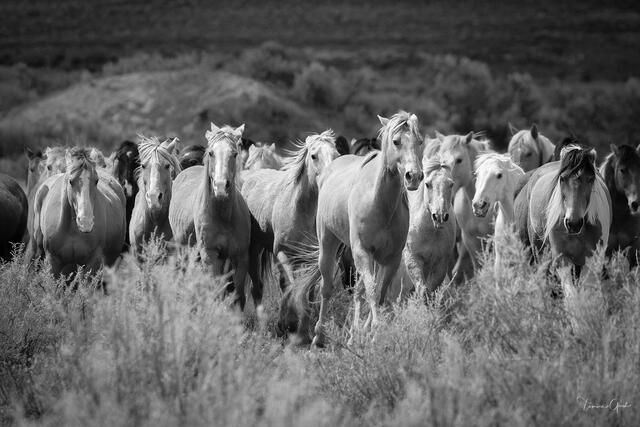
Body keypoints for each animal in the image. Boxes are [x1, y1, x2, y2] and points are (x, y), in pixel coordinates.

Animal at [29, 147, 126, 277]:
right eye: (70, 181)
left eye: (96, 181)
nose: (85, 222)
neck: (72, 230)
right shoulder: (52, 261)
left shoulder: (93, 263)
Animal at [169, 123, 259, 310]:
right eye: (211, 153)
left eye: (234, 153)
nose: (220, 187)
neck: (223, 215)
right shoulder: (209, 256)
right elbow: (216, 292)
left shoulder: (240, 257)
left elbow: (238, 295)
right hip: (184, 251)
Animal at [240, 130, 339, 294]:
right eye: (313, 156)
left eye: (336, 155)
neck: (299, 210)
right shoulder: (283, 254)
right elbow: (292, 286)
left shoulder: (309, 257)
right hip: (253, 249)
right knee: (257, 287)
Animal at [295, 111, 424, 347]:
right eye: (396, 141)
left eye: (419, 141)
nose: (414, 176)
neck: (378, 202)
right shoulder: (362, 252)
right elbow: (371, 291)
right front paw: (374, 331)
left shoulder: (390, 258)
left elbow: (379, 292)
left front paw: (367, 333)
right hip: (328, 244)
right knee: (326, 288)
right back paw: (318, 335)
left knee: (358, 291)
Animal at [387, 153, 457, 302]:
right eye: (427, 184)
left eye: (451, 184)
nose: (440, 216)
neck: (432, 233)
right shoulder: (413, 259)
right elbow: (423, 291)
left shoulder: (441, 263)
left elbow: (430, 291)